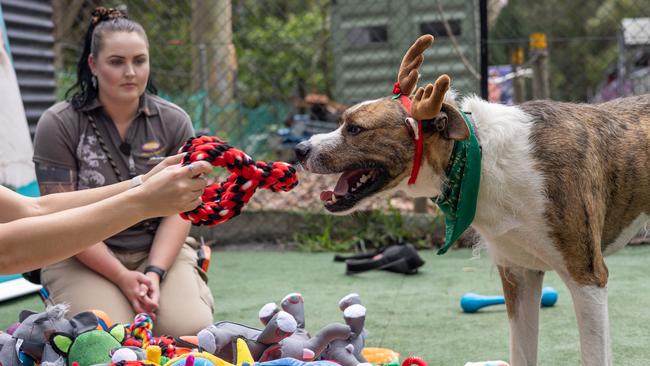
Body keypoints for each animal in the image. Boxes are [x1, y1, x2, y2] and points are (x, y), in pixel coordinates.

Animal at [294, 33, 648, 364]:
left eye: (354, 129)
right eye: (343, 122)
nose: (299, 150)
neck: (479, 156)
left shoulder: (587, 278)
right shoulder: (518, 273)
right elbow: (522, 353)